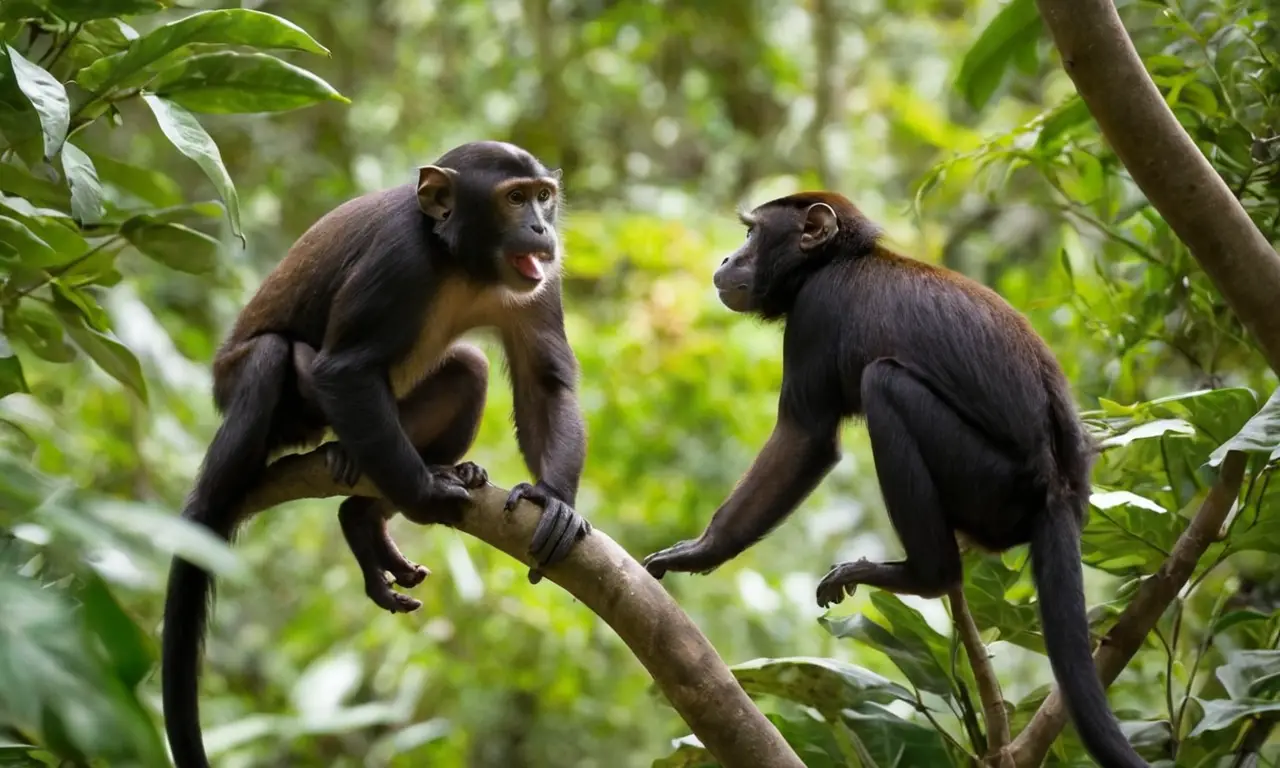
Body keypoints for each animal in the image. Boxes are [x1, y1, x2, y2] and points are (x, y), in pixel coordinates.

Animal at [162, 141, 591, 768]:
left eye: (543, 196)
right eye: (514, 199)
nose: (541, 228)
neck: (458, 262)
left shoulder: (539, 279)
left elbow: (545, 382)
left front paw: (554, 501)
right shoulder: (400, 261)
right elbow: (345, 369)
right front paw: (427, 495)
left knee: (468, 369)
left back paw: (364, 511)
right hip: (247, 388)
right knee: (269, 359)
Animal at [642, 192, 1149, 768]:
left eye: (752, 233)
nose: (728, 259)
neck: (834, 260)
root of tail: (1061, 490)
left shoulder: (816, 312)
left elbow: (805, 437)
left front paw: (700, 551)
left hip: (991, 485)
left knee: (884, 383)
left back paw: (924, 575)